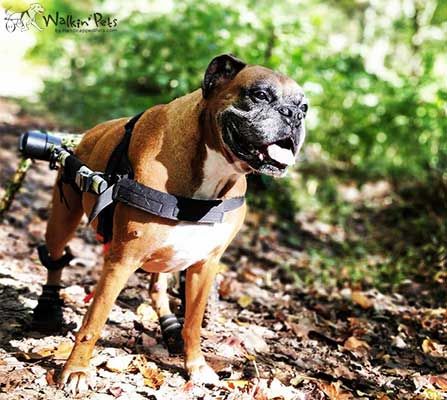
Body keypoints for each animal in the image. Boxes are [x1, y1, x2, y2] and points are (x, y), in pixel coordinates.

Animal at [36, 54, 308, 394]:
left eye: (305, 107)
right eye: (259, 95)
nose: (294, 115)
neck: (214, 167)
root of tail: (87, 134)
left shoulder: (205, 265)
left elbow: (193, 321)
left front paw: (196, 366)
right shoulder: (122, 261)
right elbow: (94, 321)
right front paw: (76, 370)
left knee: (157, 287)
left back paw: (168, 325)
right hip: (64, 218)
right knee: (55, 259)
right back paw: (48, 308)